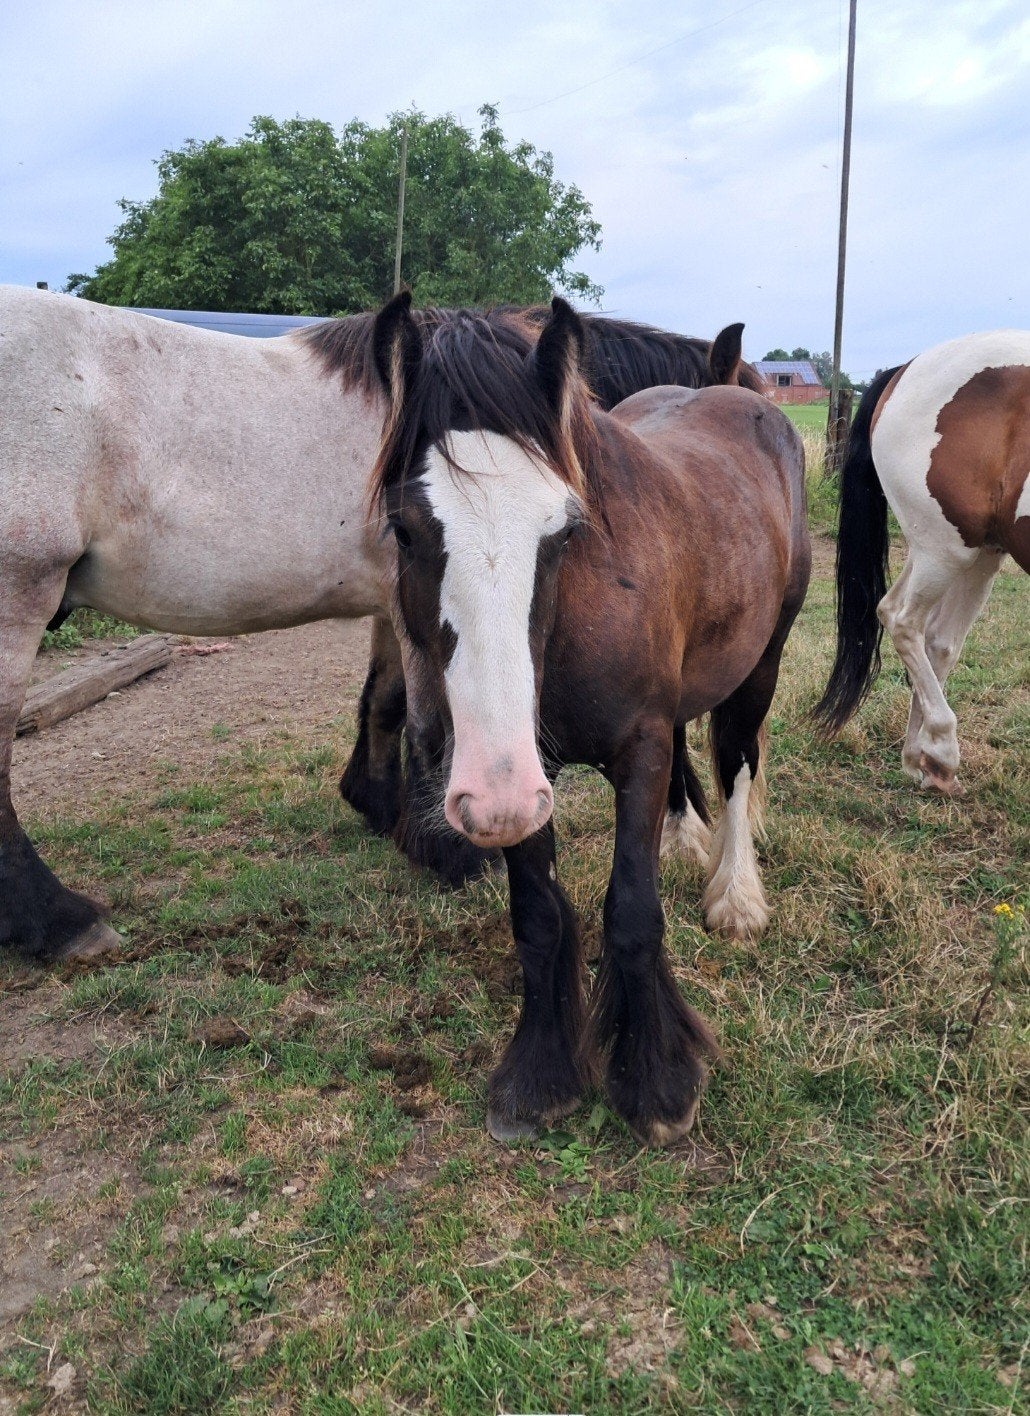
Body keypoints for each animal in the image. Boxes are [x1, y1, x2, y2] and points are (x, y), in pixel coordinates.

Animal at [0, 284, 765, 965]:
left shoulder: (393, 601)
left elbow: (385, 703)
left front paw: (378, 806)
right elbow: (428, 719)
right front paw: (450, 852)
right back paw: (61, 923)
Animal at [368, 292, 810, 1146]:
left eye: (565, 529)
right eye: (405, 529)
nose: (485, 789)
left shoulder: (628, 749)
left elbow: (631, 909)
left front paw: (658, 1083)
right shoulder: (522, 776)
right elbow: (539, 914)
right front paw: (542, 1076)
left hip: (763, 660)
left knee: (738, 760)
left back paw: (736, 893)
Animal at [813, 330, 1030, 791]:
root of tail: (906, 368)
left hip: (973, 551)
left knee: (936, 637)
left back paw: (921, 759)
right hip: (945, 550)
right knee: (904, 621)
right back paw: (942, 750)